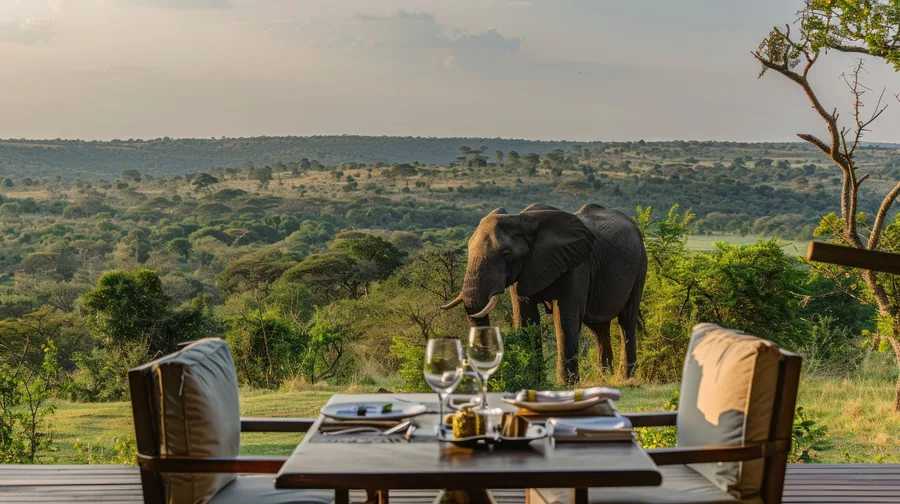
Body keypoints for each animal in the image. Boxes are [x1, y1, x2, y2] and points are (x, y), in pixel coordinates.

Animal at [441, 203, 647, 384]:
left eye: (506, 254)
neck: (524, 220)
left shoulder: (576, 265)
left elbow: (565, 319)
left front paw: (566, 385)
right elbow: (526, 319)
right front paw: (532, 381)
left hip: (640, 264)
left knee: (626, 320)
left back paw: (626, 378)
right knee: (599, 328)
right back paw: (606, 378)